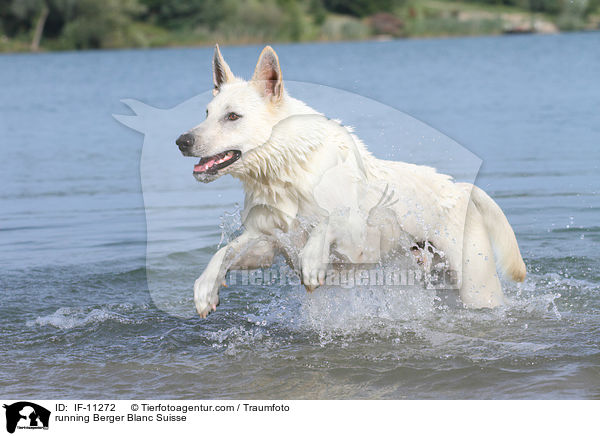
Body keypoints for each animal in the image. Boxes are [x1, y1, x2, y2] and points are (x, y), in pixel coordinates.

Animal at [177, 45, 524, 316]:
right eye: (206, 113)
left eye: (232, 116)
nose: (181, 141)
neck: (285, 170)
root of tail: (462, 188)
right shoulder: (265, 242)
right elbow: (224, 252)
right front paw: (205, 289)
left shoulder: (358, 243)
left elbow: (329, 222)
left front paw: (312, 261)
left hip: (476, 285)